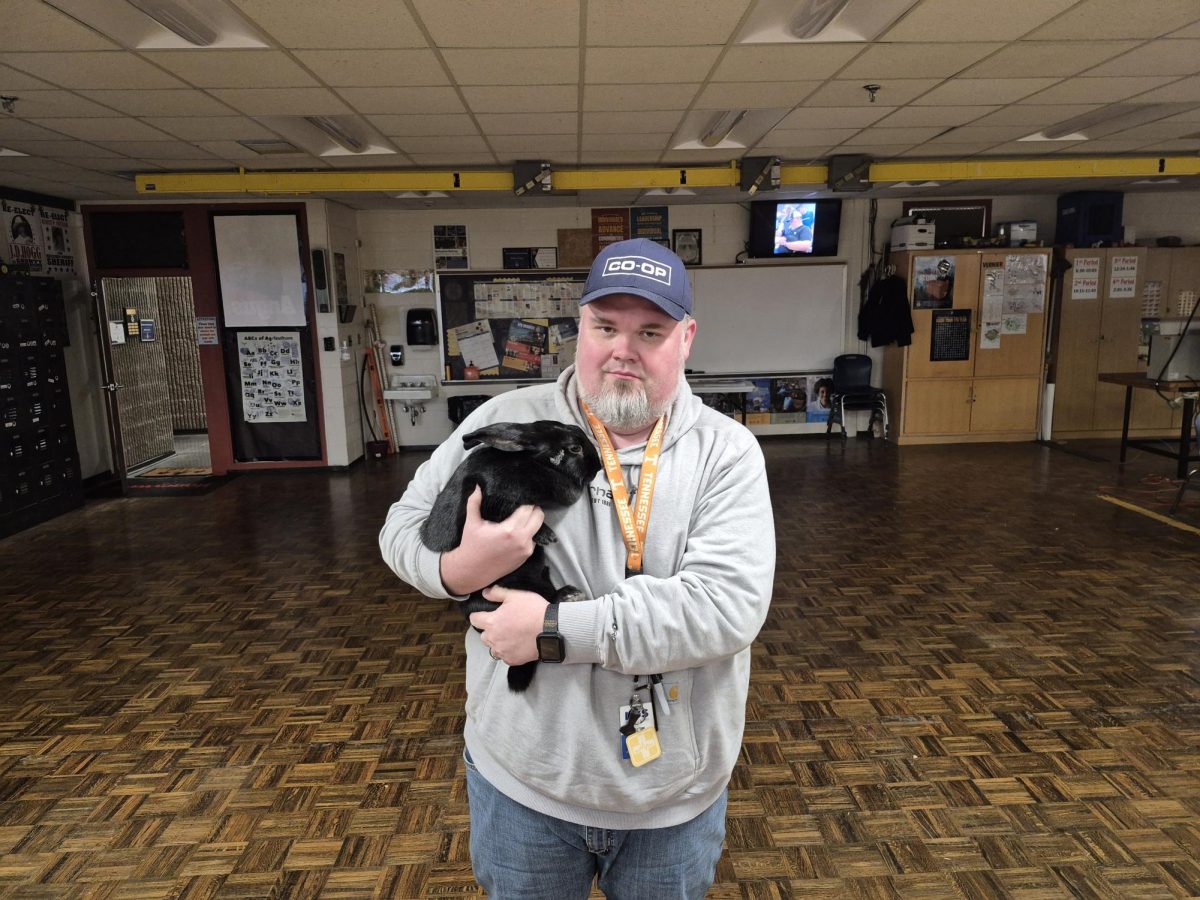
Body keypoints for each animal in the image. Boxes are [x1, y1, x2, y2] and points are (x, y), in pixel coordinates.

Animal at [424, 422, 609, 691]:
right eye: (574, 448)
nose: (598, 466)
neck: (530, 461)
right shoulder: (495, 504)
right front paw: (546, 535)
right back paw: (570, 594)